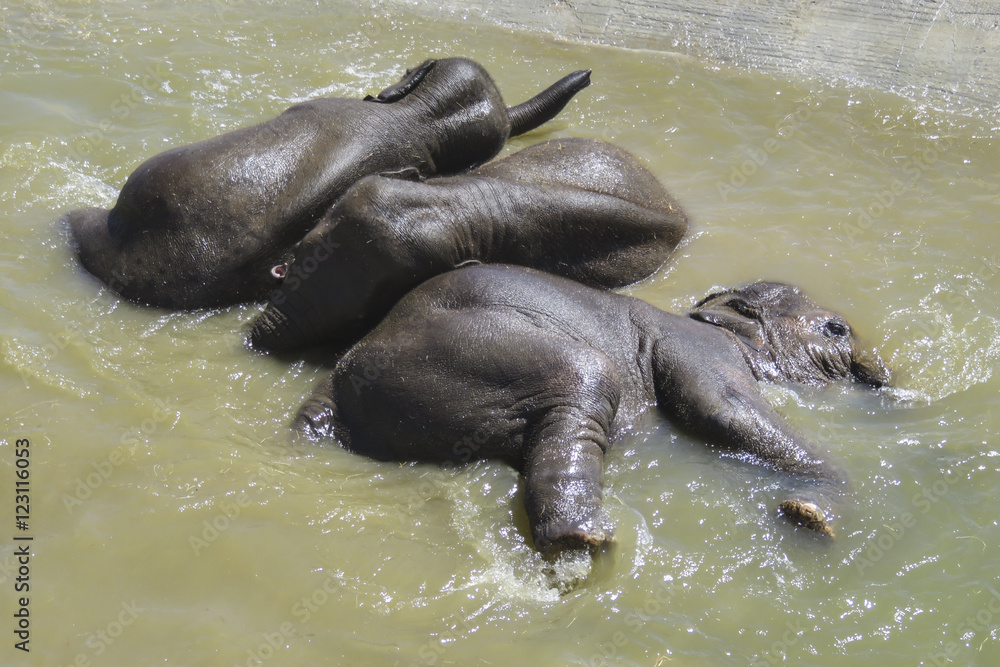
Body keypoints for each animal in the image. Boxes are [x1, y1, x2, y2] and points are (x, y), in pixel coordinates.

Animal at [294, 264, 890, 556]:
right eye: (838, 329)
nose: (881, 375)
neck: (719, 321)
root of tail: (339, 381)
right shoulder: (700, 350)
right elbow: (723, 409)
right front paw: (810, 514)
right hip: (465, 351)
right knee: (584, 379)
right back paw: (583, 537)